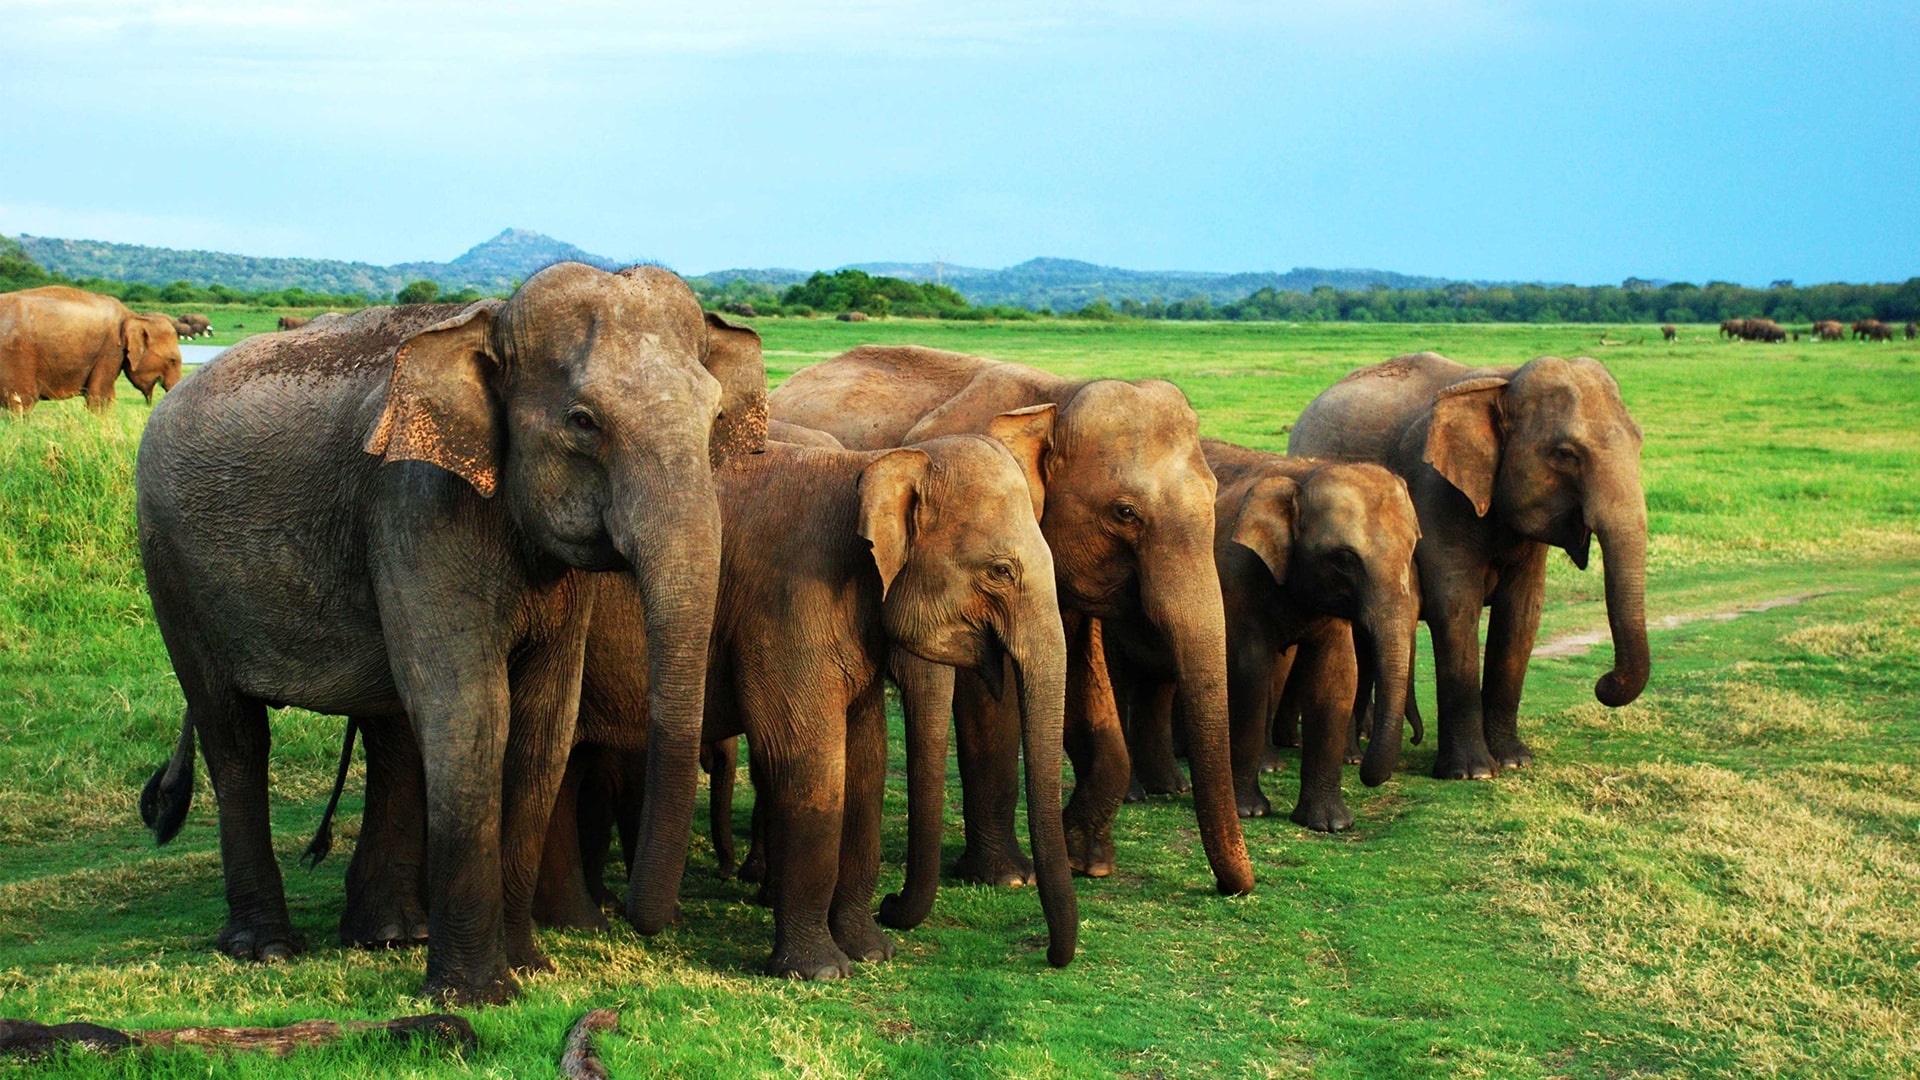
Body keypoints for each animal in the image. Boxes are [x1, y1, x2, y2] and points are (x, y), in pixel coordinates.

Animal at [0, 286, 182, 413]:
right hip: (16, 356)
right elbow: (100, 396)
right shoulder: (111, 350)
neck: (135, 316)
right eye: (172, 360)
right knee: (21, 402)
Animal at [133, 264, 768, 1005]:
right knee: (234, 734)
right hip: (171, 567)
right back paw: (267, 949)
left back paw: (388, 935)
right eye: (583, 423)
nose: (637, 921)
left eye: (714, 418)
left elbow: (543, 727)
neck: (489, 321)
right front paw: (476, 996)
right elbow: (472, 714)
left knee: (390, 733)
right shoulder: (416, 505)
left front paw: (529, 968)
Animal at [771, 346, 1255, 896]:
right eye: (1125, 512)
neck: (1059, 396)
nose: (1234, 889)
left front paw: (1086, 861)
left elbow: (1082, 676)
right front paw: (1009, 878)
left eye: (1214, 495)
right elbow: (989, 696)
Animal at [1289, 352, 1649, 780]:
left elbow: (1523, 613)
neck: (1504, 382)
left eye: (1639, 441)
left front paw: (1514, 761)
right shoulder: (1436, 491)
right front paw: (1472, 772)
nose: (1604, 683)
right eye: (1565, 453)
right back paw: (1351, 753)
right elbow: (1457, 606)